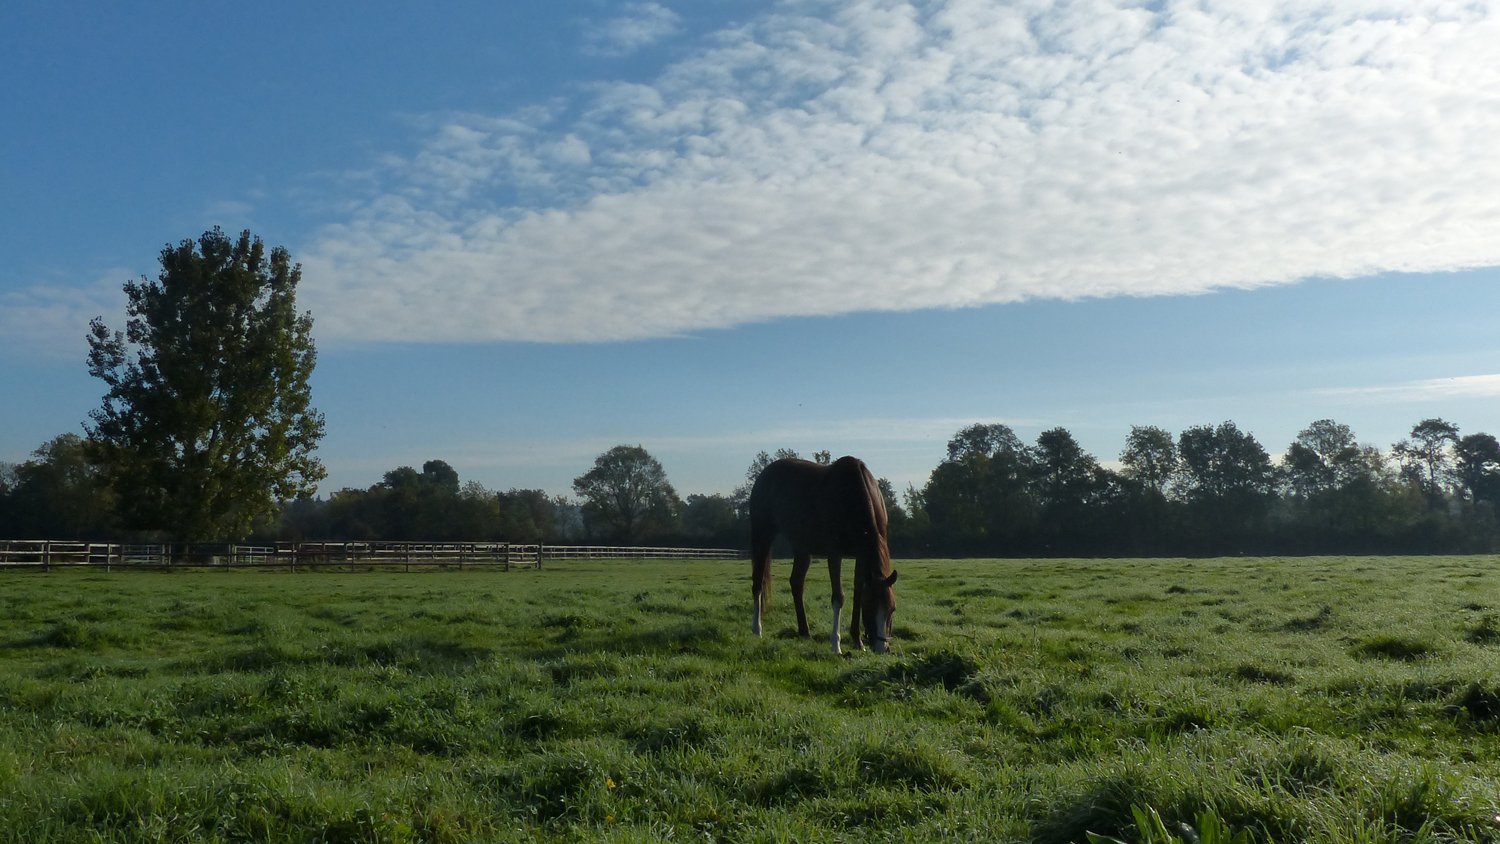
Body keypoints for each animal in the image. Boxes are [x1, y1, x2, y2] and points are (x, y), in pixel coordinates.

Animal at [749, 456, 899, 654]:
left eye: (892, 609)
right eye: (869, 608)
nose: (882, 648)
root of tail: (763, 475)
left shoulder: (861, 555)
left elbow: (857, 592)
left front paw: (857, 640)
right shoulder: (834, 554)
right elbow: (838, 597)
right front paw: (836, 645)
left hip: (802, 548)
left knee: (796, 583)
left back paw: (804, 632)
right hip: (763, 536)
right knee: (758, 583)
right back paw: (757, 629)